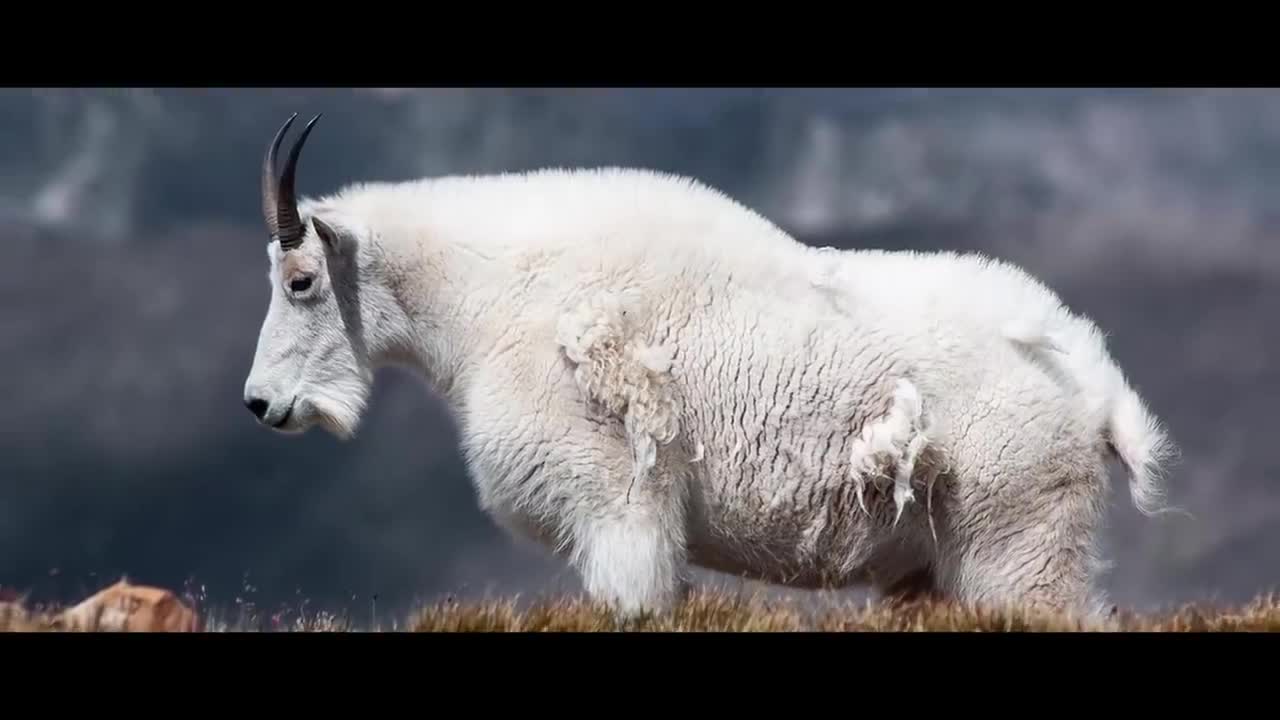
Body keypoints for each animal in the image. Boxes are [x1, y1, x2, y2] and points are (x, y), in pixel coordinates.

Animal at [241, 112, 1177, 617]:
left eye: (300, 280)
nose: (261, 404)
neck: (490, 297)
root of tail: (1097, 385)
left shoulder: (617, 508)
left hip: (1019, 543)